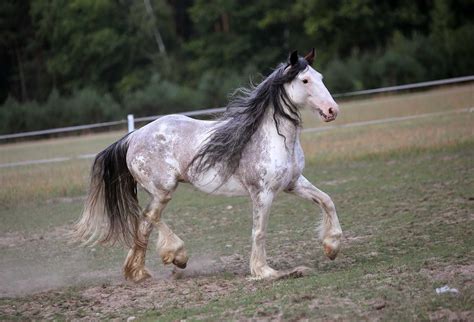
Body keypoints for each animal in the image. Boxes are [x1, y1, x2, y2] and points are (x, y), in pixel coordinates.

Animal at [77, 48, 344, 282]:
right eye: (305, 80)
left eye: (320, 77)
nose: (332, 110)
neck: (275, 138)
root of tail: (133, 137)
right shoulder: (263, 193)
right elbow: (259, 231)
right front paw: (264, 271)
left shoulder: (293, 183)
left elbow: (327, 200)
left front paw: (331, 247)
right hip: (163, 190)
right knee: (148, 217)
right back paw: (177, 255)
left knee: (144, 224)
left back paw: (138, 272)